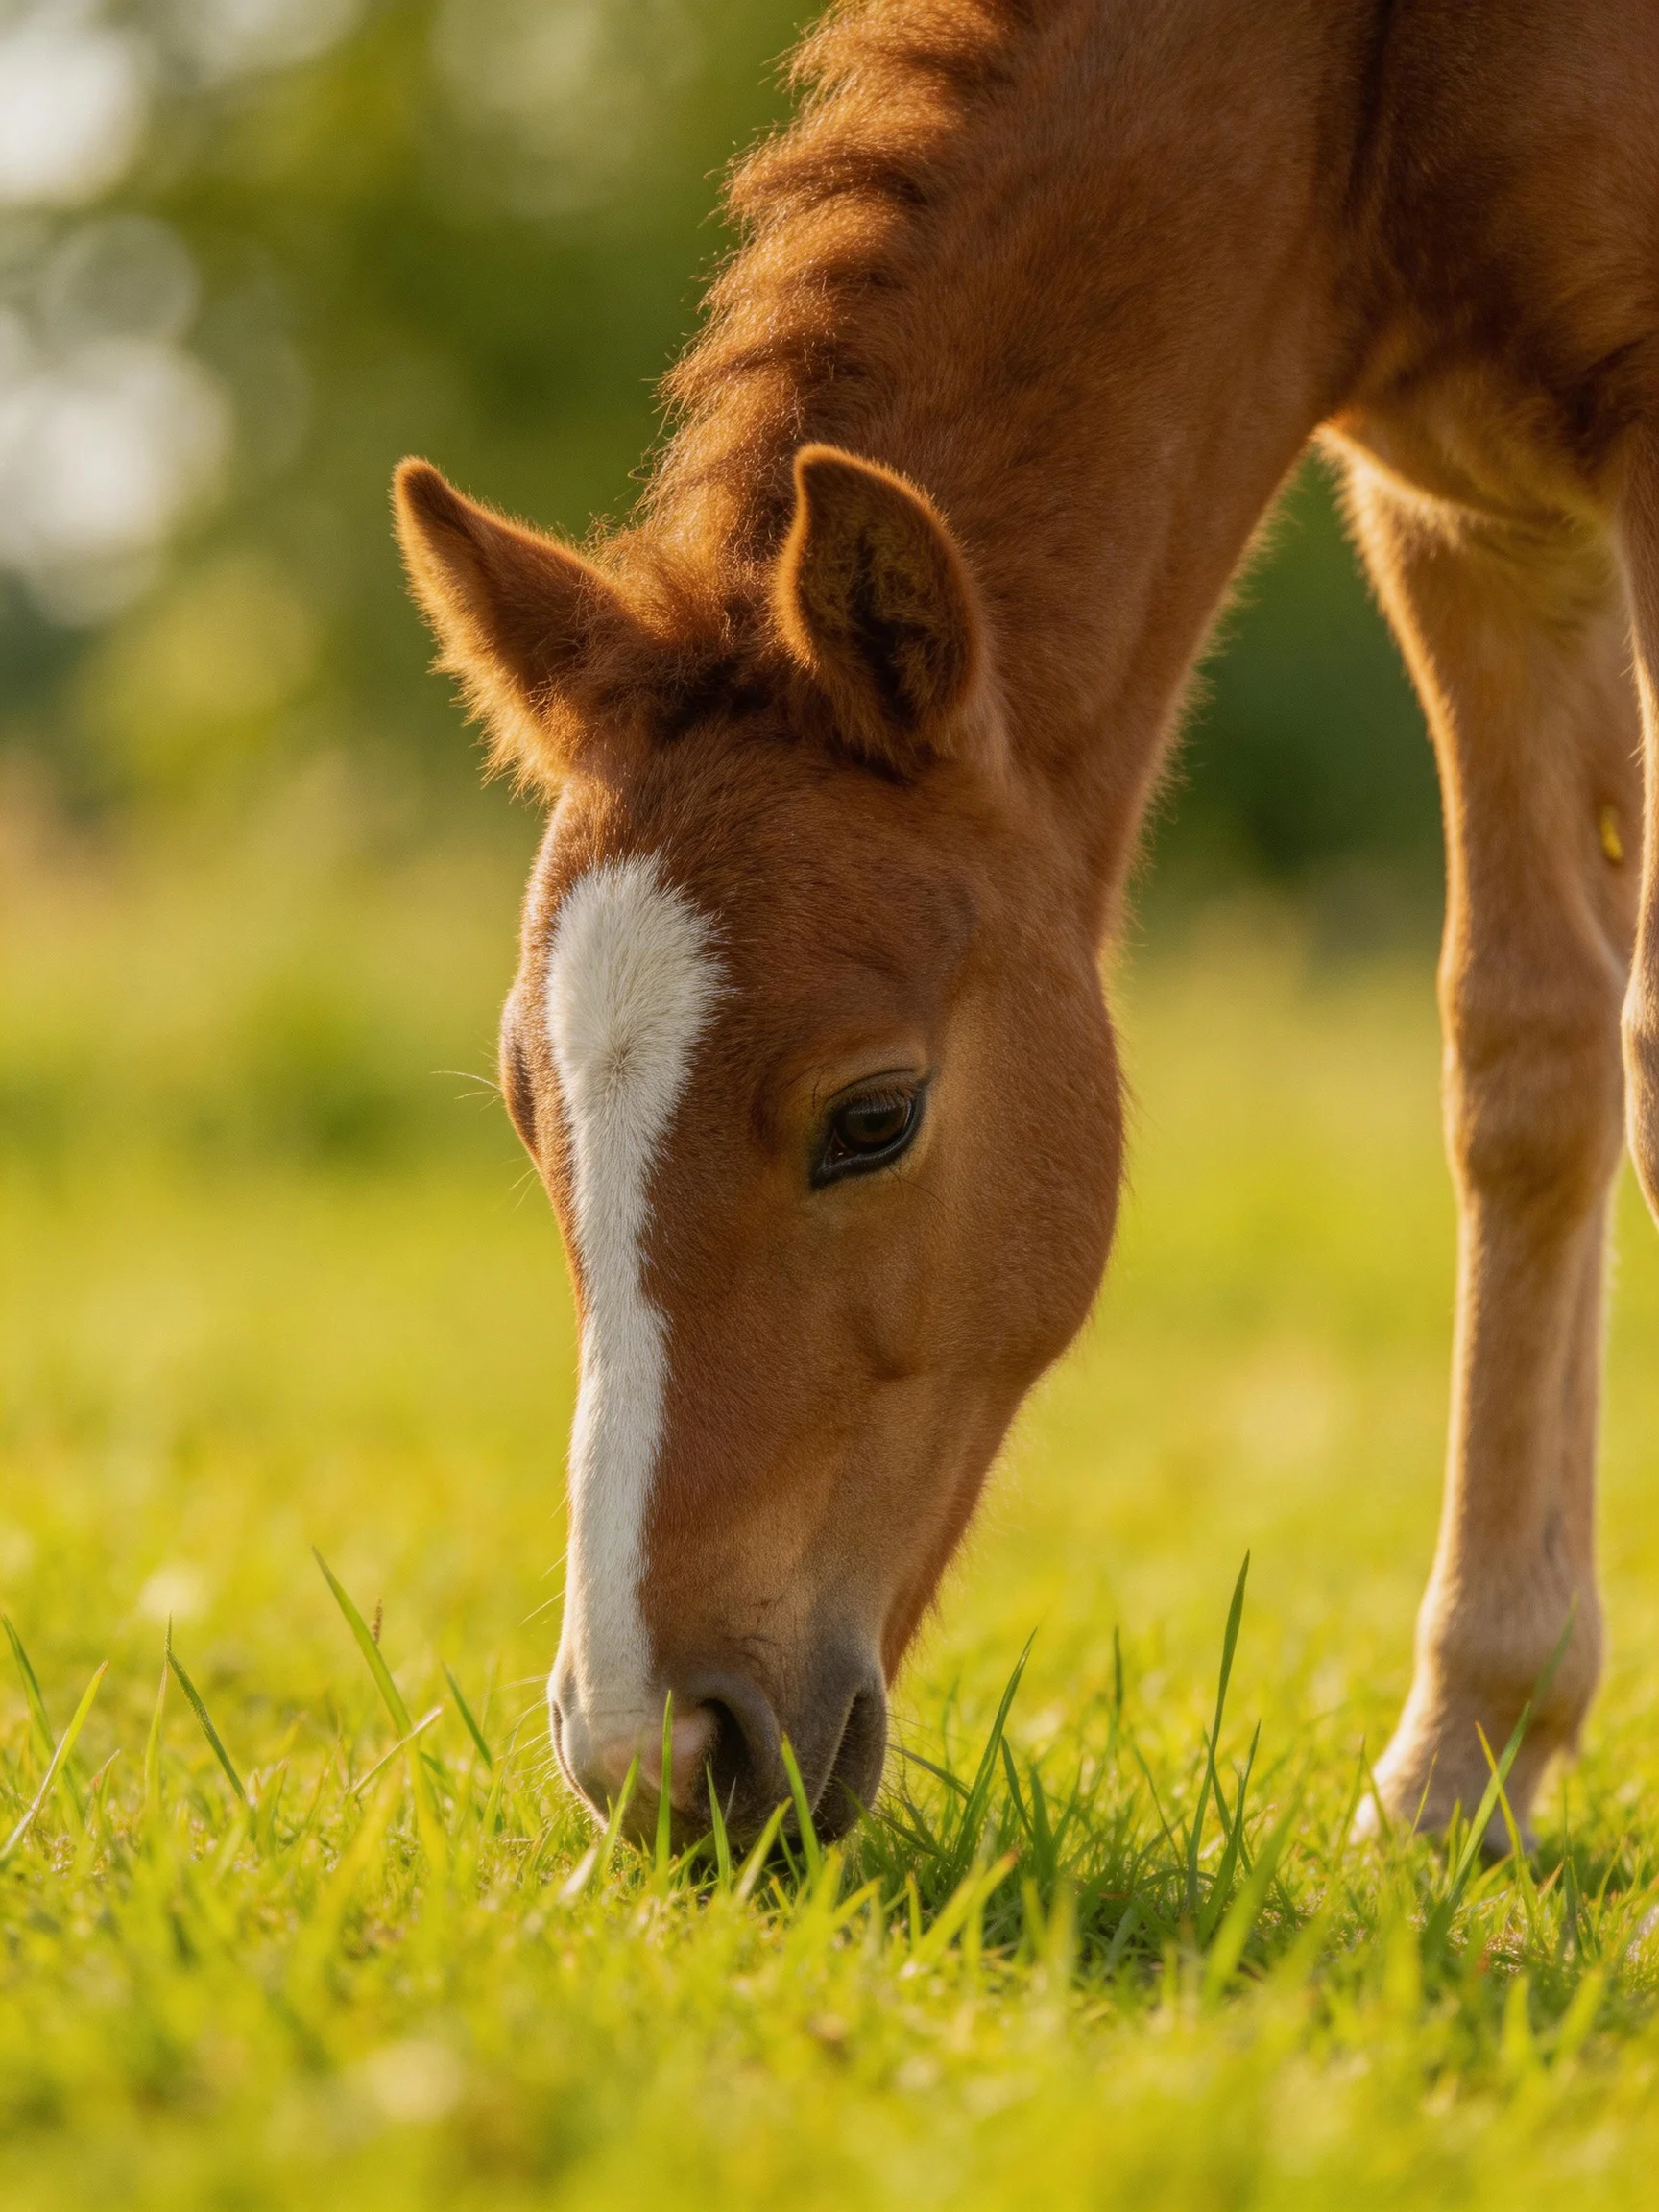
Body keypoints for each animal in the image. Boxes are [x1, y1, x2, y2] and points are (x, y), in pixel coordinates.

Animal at [395, 0, 1659, 1848]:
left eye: (874, 1115)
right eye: (523, 1110)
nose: (657, 1754)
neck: (1376, 79)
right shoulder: (1467, 518)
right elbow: (1531, 1059)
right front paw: (1464, 1758)